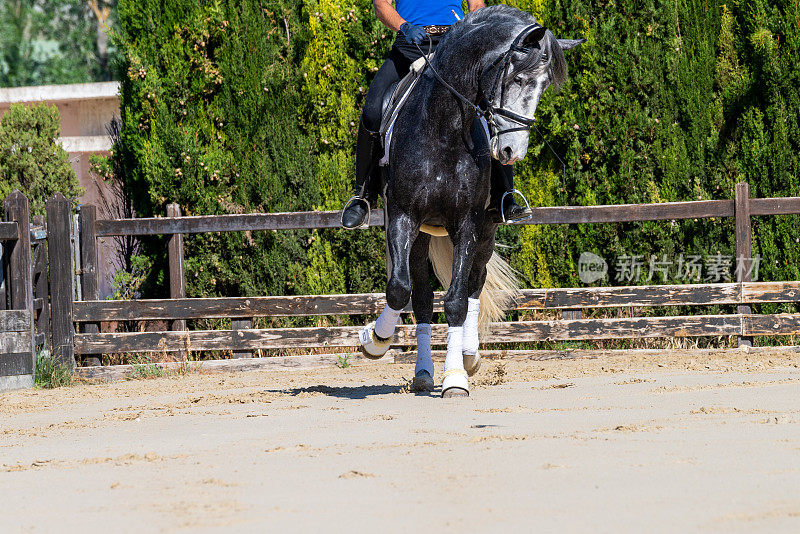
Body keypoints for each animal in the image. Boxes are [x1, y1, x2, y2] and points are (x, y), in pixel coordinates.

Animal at [356, 4, 580, 398]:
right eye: (517, 79)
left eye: (542, 88)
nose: (511, 152)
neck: (443, 128)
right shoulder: (402, 216)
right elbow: (399, 290)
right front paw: (375, 340)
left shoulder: (468, 222)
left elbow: (458, 299)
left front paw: (457, 377)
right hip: (422, 233)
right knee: (422, 298)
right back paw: (423, 373)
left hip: (486, 231)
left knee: (476, 281)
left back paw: (469, 355)